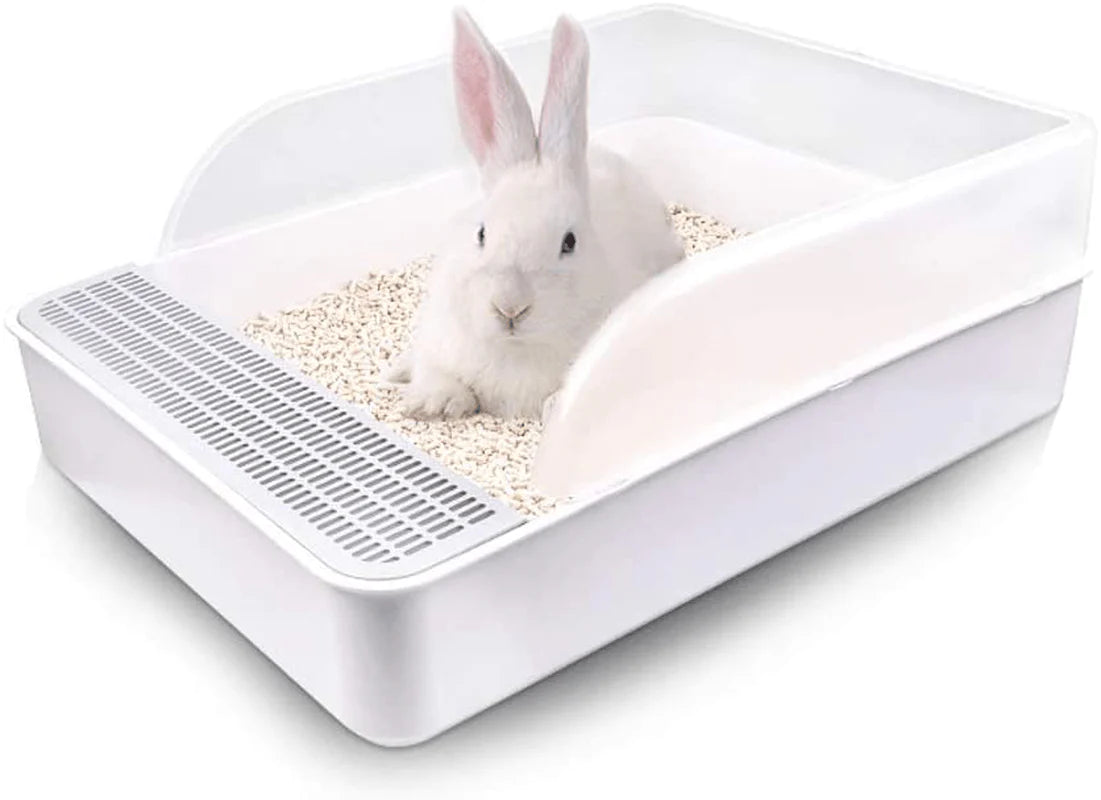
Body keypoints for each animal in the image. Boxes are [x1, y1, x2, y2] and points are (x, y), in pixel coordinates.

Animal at [390, 9, 684, 419]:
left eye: (569, 242)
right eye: (481, 234)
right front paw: (435, 404)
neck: (518, 350)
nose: (510, 308)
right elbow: (436, 371)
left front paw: (553, 407)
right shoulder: (438, 336)